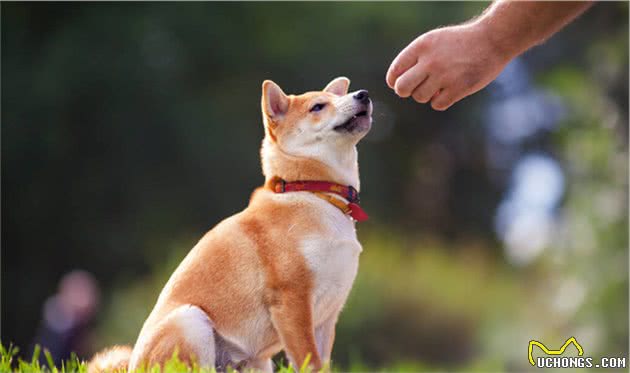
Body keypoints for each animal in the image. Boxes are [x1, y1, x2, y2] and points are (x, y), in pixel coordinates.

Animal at [89, 77, 376, 370]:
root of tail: (133, 365)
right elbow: (309, 362)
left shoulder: (327, 317)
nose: (363, 94)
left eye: (335, 98)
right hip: (192, 321)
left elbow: (322, 362)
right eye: (317, 106)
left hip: (256, 362)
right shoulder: (291, 301)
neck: (314, 192)